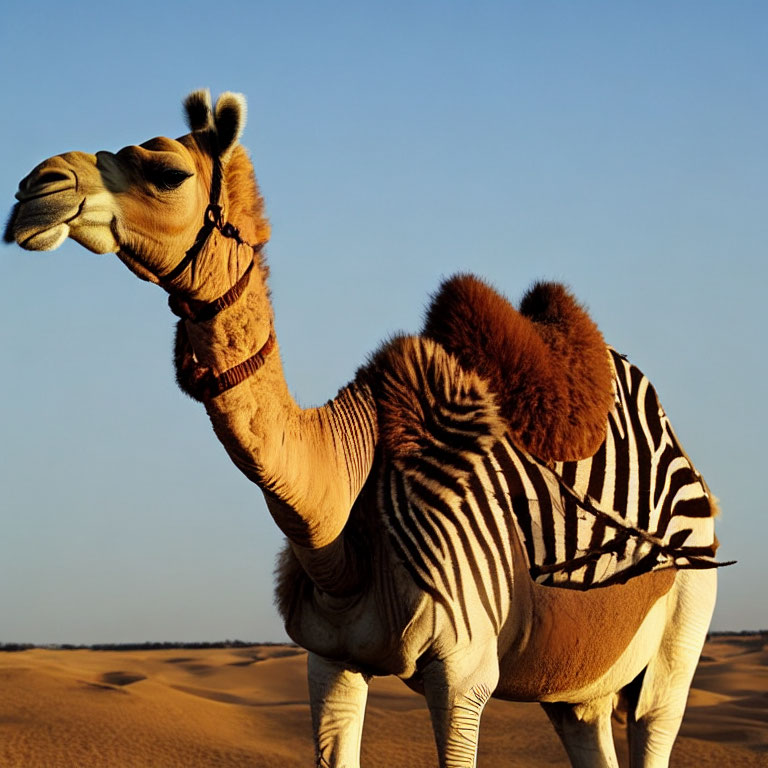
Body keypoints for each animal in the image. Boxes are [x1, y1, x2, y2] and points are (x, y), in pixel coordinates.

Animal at [6, 91, 720, 768]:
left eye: (167, 172)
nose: (35, 188)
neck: (341, 504)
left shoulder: (463, 674)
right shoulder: (330, 662)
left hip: (685, 621)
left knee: (656, 716)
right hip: (576, 686)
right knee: (587, 724)